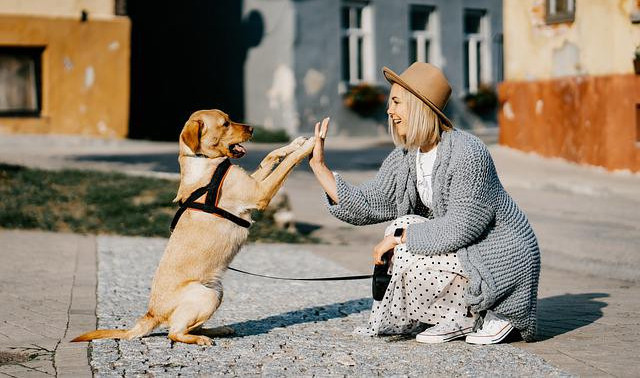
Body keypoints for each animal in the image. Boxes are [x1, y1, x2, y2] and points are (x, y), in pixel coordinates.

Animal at [72, 109, 316, 346]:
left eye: (229, 119)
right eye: (225, 123)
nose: (253, 128)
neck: (204, 161)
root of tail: (151, 314)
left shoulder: (253, 183)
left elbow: (271, 156)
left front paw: (296, 143)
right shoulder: (259, 193)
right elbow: (286, 164)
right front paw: (310, 145)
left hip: (217, 291)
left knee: (188, 327)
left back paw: (217, 330)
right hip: (206, 295)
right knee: (174, 332)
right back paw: (200, 339)